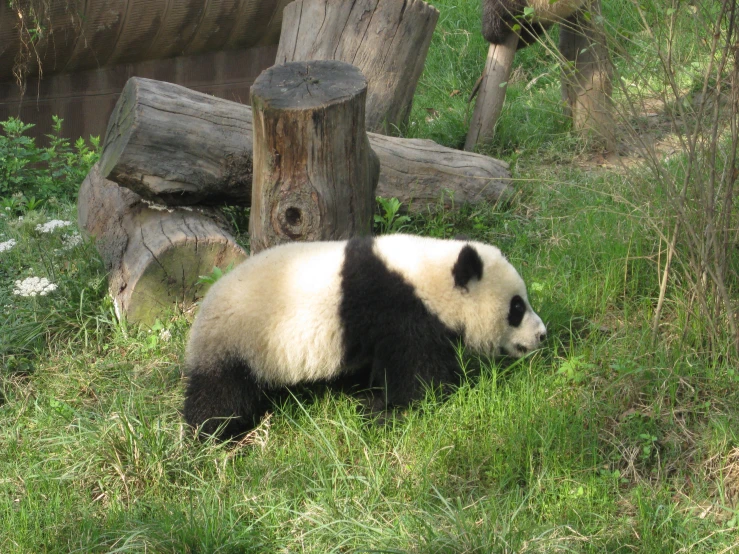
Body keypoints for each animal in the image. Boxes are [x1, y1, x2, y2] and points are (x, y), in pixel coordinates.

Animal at [183, 233, 548, 436]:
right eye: (517, 307)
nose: (542, 335)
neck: (428, 278)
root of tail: (202, 313)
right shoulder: (400, 311)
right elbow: (417, 376)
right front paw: (382, 411)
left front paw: (372, 402)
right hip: (238, 342)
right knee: (221, 394)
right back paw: (212, 434)